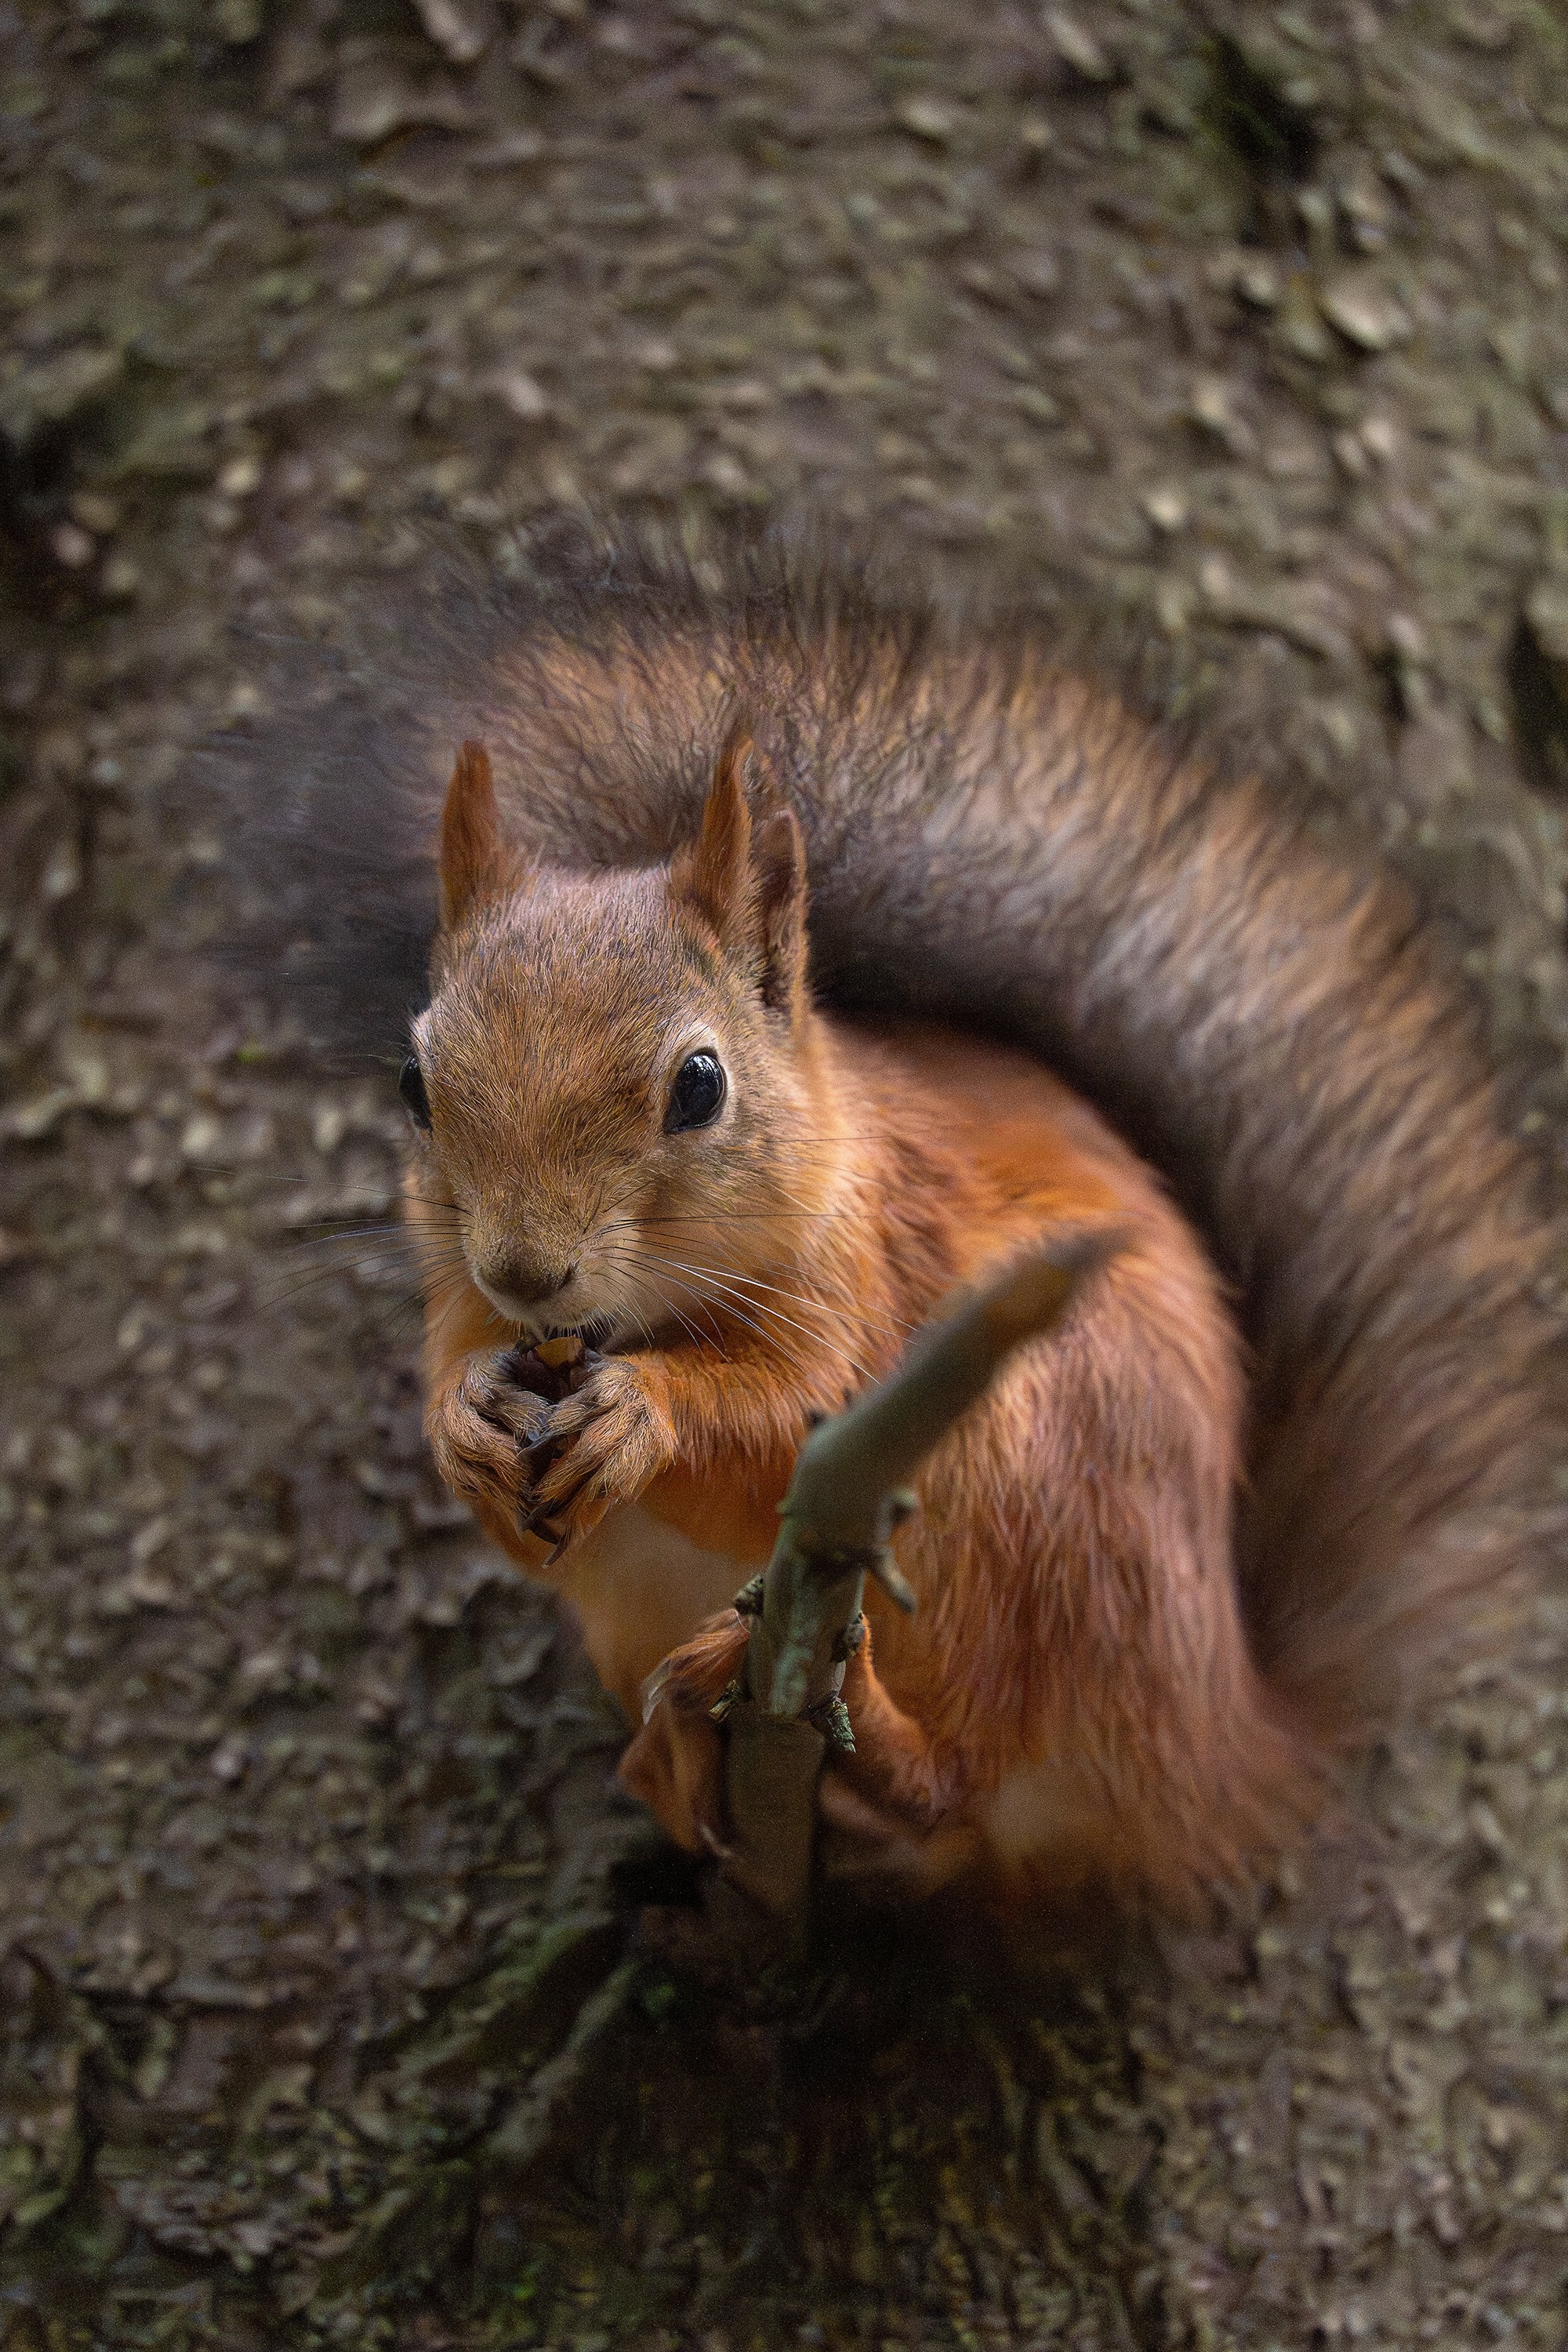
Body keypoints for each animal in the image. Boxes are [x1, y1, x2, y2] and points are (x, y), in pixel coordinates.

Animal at [233, 523, 1565, 1917]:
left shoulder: (871, 1282)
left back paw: (854, 1734)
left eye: (699, 1085)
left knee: (966, 1780)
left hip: (1042, 1489)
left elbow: (789, 1416)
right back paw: (679, 1756)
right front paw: (467, 1424)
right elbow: (499, 1488)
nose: (524, 1272)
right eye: (413, 1082)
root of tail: (1219, 1736)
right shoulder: (460, 1314)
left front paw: (649, 1414)